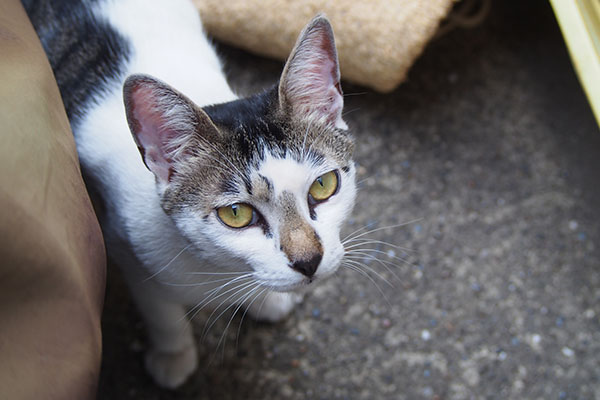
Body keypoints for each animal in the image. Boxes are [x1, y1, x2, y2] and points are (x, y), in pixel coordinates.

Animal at [24, 0, 356, 390]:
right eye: (236, 214)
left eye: (323, 186)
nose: (308, 262)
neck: (216, 266)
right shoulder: (124, 245)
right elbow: (160, 310)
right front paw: (174, 355)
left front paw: (264, 299)